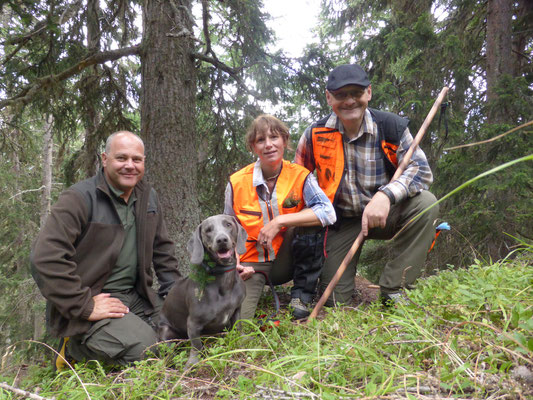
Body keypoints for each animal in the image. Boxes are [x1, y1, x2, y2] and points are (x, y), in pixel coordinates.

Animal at [158, 214, 247, 368]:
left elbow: (238, 327)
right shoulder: (193, 324)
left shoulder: (236, 310)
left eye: (228, 224)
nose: (221, 240)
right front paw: (193, 363)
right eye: (208, 230)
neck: (224, 283)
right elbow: (196, 346)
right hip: (166, 332)